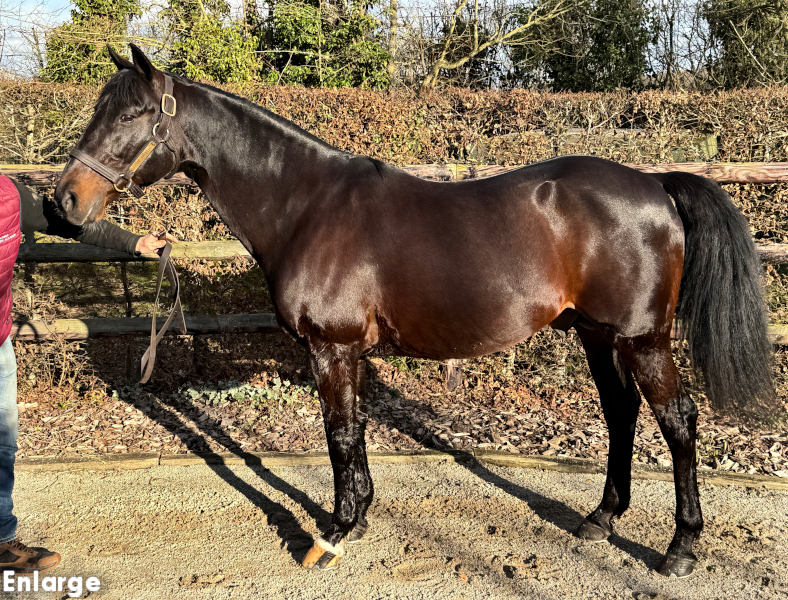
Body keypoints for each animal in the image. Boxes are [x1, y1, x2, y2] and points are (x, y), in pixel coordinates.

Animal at [54, 44, 774, 578]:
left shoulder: (332, 346)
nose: (64, 201)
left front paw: (333, 534)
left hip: (642, 338)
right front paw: (357, 517)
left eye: (133, 114)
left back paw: (680, 551)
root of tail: (655, 183)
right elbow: (352, 435)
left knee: (679, 423)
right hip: (599, 335)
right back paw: (599, 520)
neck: (306, 206)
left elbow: (341, 435)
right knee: (622, 414)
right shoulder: (346, 351)